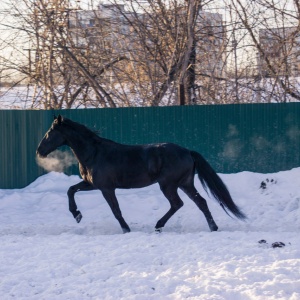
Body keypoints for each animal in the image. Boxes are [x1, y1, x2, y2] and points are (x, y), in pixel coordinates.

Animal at [36, 116, 246, 233]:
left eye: (50, 132)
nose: (39, 151)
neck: (94, 153)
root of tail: (187, 151)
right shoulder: (91, 184)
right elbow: (71, 190)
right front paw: (77, 215)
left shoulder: (106, 188)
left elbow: (116, 210)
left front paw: (126, 229)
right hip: (185, 183)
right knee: (200, 202)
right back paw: (213, 227)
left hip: (168, 185)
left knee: (178, 204)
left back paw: (159, 225)